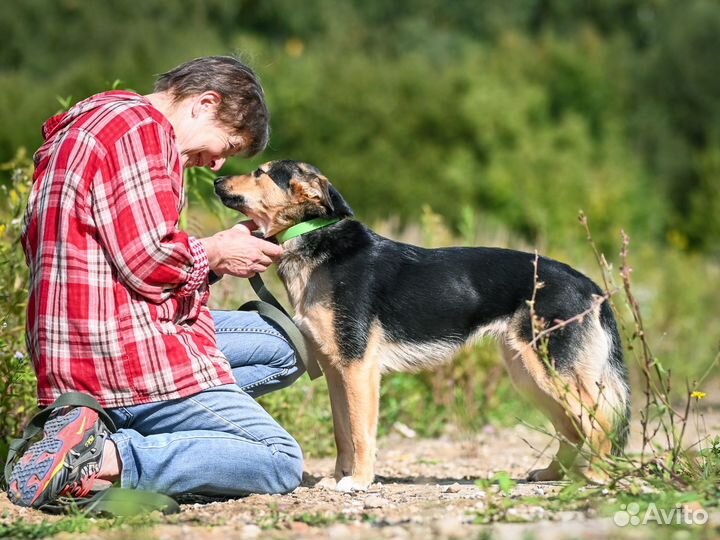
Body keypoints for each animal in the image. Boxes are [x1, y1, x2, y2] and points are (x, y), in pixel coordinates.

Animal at [214, 158, 632, 492]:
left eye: (260, 172)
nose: (216, 180)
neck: (311, 236)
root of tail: (590, 286)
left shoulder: (359, 369)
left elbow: (361, 433)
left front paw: (359, 481)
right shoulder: (336, 371)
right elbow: (343, 434)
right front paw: (339, 478)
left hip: (552, 370)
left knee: (599, 423)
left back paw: (599, 476)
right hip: (529, 374)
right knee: (572, 429)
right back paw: (551, 474)